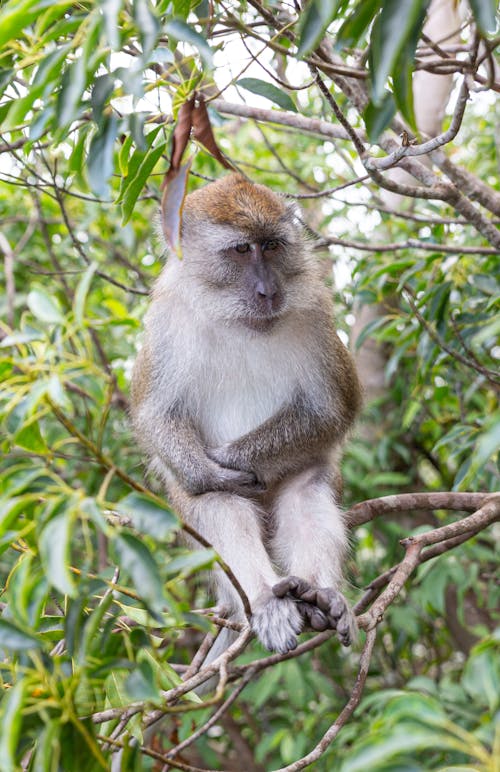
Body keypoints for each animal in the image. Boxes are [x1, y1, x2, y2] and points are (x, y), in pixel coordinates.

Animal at [131, 175, 362, 664]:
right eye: (241, 250)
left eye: (272, 246)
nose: (267, 291)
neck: (241, 320)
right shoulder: (166, 321)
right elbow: (156, 415)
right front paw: (210, 470)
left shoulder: (316, 314)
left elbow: (333, 409)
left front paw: (233, 459)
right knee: (216, 504)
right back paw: (266, 601)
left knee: (306, 491)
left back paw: (318, 597)